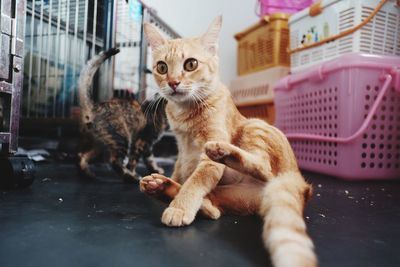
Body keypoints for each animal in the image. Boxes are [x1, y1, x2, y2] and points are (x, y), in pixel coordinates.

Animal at [78, 48, 167, 183]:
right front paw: (135, 173)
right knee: (114, 161)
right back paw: (131, 177)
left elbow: (150, 158)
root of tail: (94, 107)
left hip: (99, 143)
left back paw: (87, 174)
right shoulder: (143, 140)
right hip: (121, 138)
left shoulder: (147, 144)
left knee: (82, 156)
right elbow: (134, 160)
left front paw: (156, 170)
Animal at [139, 16, 318, 267]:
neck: (185, 112)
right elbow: (184, 174)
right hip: (235, 196)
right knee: (215, 209)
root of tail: (301, 183)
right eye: (162, 67)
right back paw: (164, 188)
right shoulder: (182, 152)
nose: (173, 83)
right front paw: (175, 189)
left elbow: (196, 181)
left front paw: (180, 208)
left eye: (190, 64)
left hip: (255, 126)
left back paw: (221, 153)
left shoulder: (208, 155)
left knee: (262, 167)